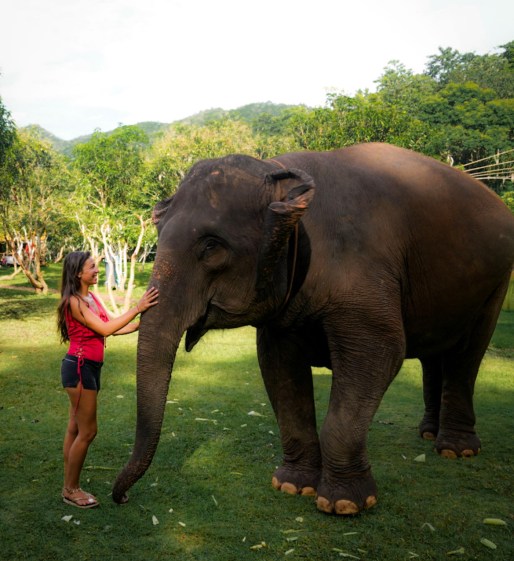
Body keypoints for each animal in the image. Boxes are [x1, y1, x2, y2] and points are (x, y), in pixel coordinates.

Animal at [113, 142, 512, 516]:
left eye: (211, 247)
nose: (122, 497)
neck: (279, 174)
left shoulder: (363, 271)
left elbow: (380, 352)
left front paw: (345, 505)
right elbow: (279, 368)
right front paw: (291, 487)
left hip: (496, 282)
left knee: (466, 355)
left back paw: (456, 451)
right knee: (434, 354)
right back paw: (428, 433)